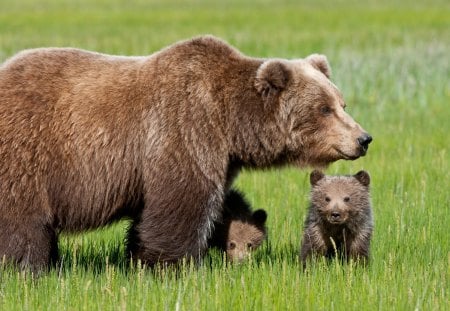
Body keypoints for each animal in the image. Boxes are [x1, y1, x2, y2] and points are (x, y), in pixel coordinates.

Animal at [0, 35, 370, 272]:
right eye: (323, 108)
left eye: (342, 103)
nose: (364, 138)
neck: (230, 122)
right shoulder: (184, 130)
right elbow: (181, 203)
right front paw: (174, 266)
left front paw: (139, 258)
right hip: (29, 154)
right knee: (22, 219)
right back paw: (27, 267)